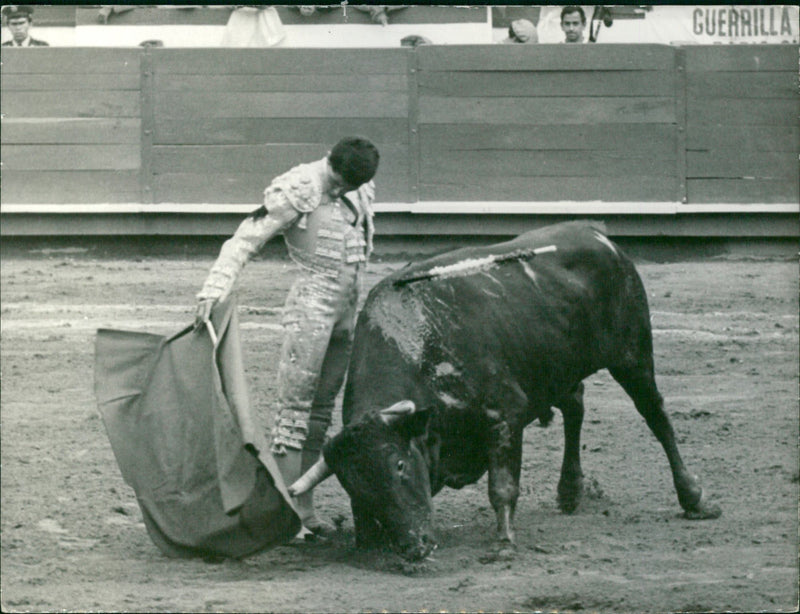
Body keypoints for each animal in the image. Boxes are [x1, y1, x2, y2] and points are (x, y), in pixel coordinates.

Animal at [290, 225, 720, 564]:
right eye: (354, 485)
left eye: (398, 464)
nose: (416, 547)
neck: (419, 340)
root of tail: (598, 235)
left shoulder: (504, 416)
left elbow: (502, 486)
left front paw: (504, 544)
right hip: (557, 370)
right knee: (575, 407)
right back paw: (569, 492)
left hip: (633, 355)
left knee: (657, 417)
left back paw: (693, 498)